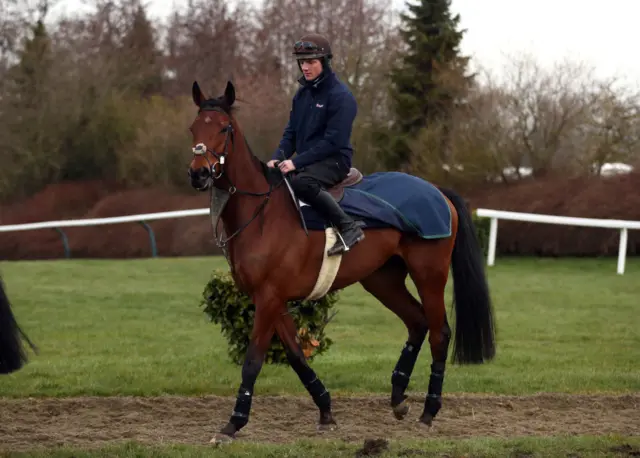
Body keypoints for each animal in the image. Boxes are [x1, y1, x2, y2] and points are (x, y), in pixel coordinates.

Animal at [185, 81, 496, 444]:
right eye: (194, 128)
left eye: (223, 128)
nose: (198, 173)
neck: (261, 214)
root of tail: (438, 191)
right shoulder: (274, 300)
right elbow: (296, 356)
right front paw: (325, 410)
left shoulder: (268, 298)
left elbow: (253, 360)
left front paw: (233, 423)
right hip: (382, 280)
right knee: (417, 321)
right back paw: (398, 397)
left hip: (429, 275)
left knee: (439, 332)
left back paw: (429, 411)